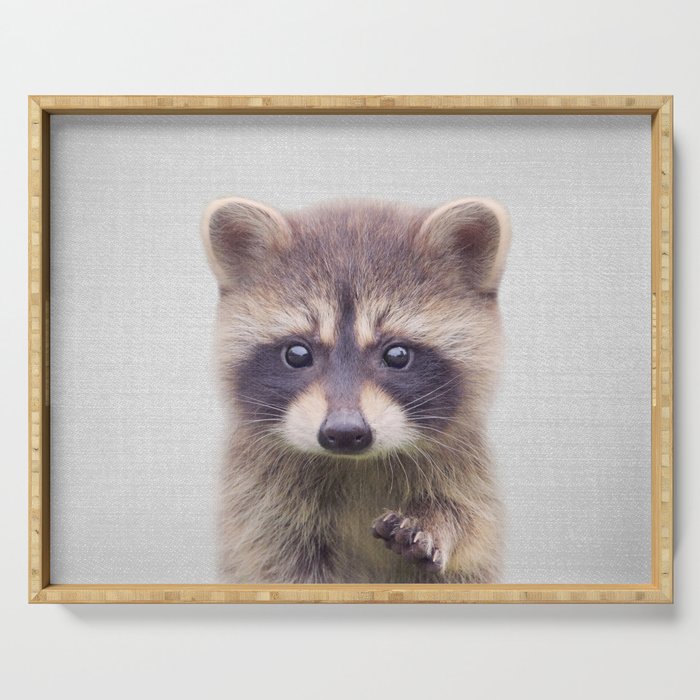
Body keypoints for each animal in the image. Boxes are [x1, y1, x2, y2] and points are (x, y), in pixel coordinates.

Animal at [201, 195, 511, 584]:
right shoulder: (258, 501)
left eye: (397, 355)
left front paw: (438, 521)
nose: (345, 432)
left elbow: (472, 523)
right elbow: (277, 563)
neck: (356, 464)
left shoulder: (466, 468)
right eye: (297, 354)